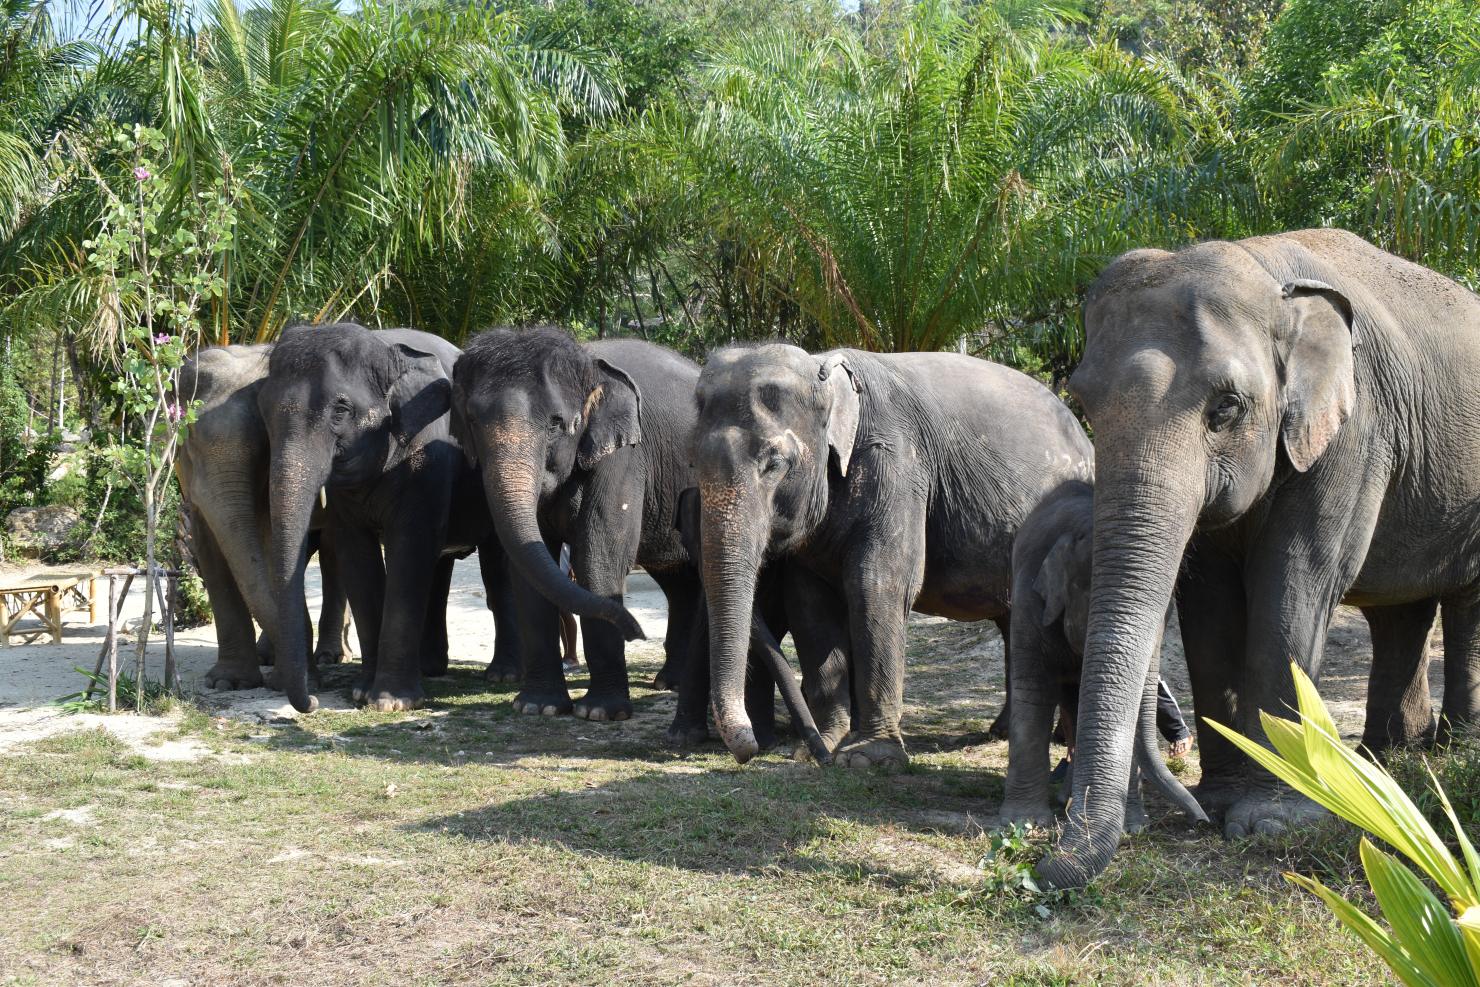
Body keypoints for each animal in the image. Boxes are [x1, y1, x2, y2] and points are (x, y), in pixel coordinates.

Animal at [175, 344, 352, 690]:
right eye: (190, 445)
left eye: (262, 446)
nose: (312, 689)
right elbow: (213, 548)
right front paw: (227, 683)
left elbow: (271, 548)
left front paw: (287, 680)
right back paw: (271, 657)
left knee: (332, 553)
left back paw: (330, 656)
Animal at [257, 322, 527, 713]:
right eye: (263, 411)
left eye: (341, 410)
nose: (312, 701)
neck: (385, 346)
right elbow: (357, 558)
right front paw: (361, 693)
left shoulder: (428, 457)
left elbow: (409, 548)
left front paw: (391, 702)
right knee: (439, 566)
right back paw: (430, 668)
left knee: (495, 569)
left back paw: (503, 675)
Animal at [449, 327, 704, 722]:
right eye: (473, 421)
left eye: (556, 423)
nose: (637, 631)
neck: (587, 363)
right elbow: (529, 568)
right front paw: (537, 706)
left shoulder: (626, 456)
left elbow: (598, 558)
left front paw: (600, 713)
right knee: (677, 580)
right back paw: (669, 683)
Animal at [693, 343, 1095, 768]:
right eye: (692, 461)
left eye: (774, 464)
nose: (749, 750)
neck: (823, 371)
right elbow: (808, 602)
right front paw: (822, 747)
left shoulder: (898, 465)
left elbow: (878, 585)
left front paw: (868, 758)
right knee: (1010, 620)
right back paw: (1002, 731)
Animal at [1036, 228, 1480, 889]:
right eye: (1083, 405)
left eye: (1225, 408)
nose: (1044, 866)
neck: (1269, 274)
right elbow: (1209, 601)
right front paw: (1220, 802)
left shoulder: (1355, 433)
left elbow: (1297, 581)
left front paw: (1270, 820)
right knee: (1398, 611)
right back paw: (1386, 757)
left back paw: (1451, 750)